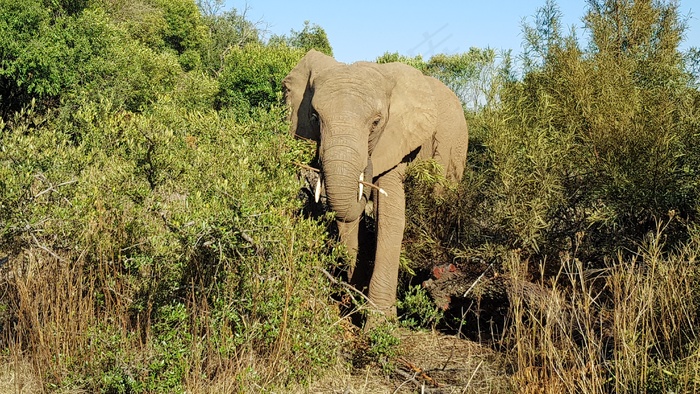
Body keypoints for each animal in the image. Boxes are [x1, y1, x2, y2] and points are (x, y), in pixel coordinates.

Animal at [282, 48, 468, 320]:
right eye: (315, 117)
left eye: (376, 122)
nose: (367, 167)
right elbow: (347, 218)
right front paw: (354, 301)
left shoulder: (397, 140)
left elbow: (390, 216)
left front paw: (379, 323)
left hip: (455, 146)